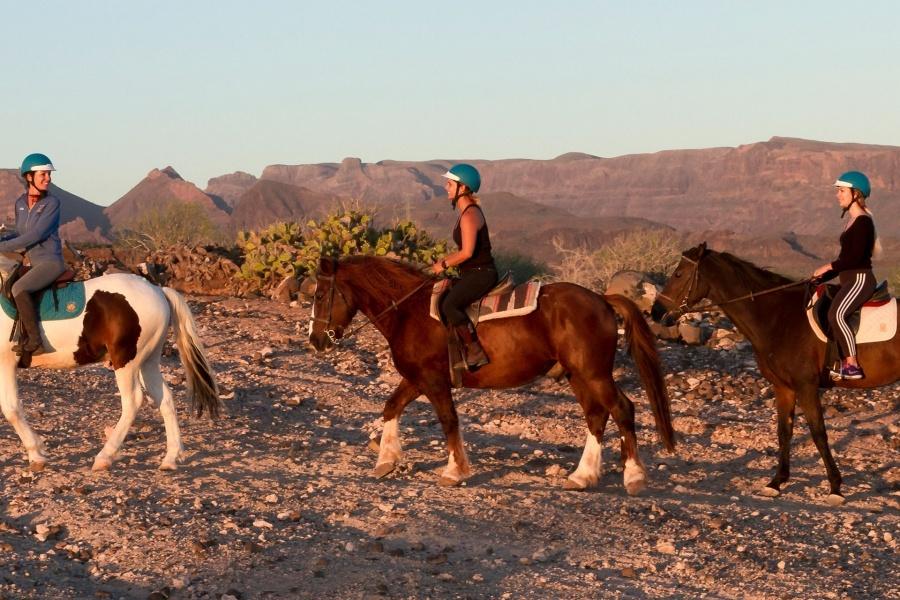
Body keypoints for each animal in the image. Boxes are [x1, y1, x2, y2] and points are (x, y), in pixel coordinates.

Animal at [2, 274, 221, 474]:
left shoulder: (5, 363)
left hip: (126, 361)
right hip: (147, 362)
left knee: (133, 401)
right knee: (165, 399)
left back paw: (104, 457)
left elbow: (11, 409)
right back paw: (170, 459)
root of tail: (157, 290)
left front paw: (36, 454)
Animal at [306, 255, 672, 494]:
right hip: (577, 375)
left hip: (594, 373)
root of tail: (602, 300)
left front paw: (454, 471)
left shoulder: (434, 382)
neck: (408, 312)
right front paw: (386, 461)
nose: (315, 340)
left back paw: (633, 477)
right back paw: (582, 476)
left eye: (320, 295)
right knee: (596, 416)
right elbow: (391, 407)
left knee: (622, 409)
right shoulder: (416, 379)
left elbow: (448, 421)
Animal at [652, 244, 900, 506]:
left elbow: (818, 434)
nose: (656, 311)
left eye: (678, 274)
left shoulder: (806, 386)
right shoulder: (783, 388)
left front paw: (835, 488)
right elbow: (784, 431)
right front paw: (776, 483)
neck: (778, 317)